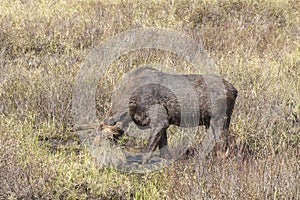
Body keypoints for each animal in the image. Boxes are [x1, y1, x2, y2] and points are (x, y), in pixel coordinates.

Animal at [96, 66, 237, 163]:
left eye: (109, 138)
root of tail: (235, 90)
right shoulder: (164, 124)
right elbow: (163, 150)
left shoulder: (160, 121)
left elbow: (147, 152)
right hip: (212, 122)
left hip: (218, 120)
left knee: (221, 143)